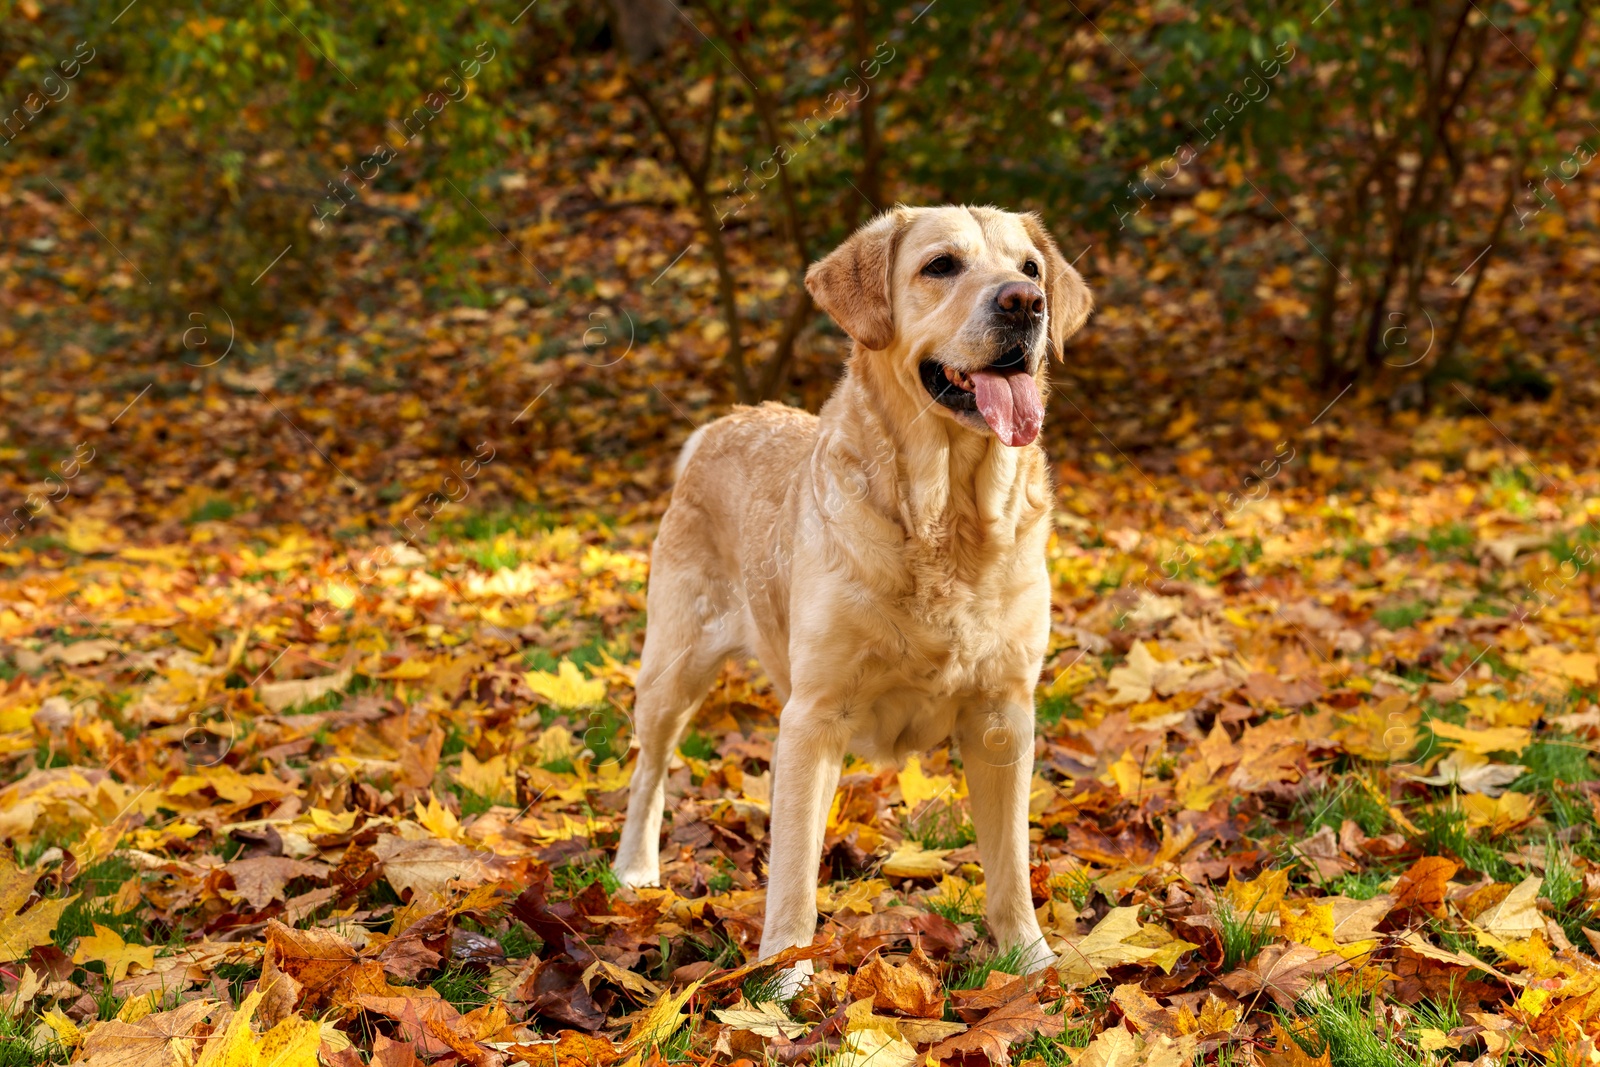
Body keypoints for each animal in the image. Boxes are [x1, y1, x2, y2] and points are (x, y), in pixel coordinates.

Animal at [608, 204, 1088, 991]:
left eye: (1030, 269)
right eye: (941, 265)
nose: (1025, 305)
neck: (947, 518)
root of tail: (722, 422)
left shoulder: (1005, 715)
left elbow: (1011, 865)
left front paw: (1032, 963)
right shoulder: (814, 714)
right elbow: (793, 872)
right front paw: (782, 981)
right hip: (672, 670)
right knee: (650, 770)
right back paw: (634, 868)